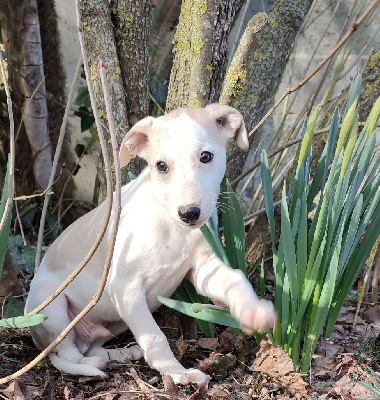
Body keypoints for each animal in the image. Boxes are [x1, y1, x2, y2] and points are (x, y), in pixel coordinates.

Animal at [26, 103, 276, 384]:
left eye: (206, 156)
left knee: (92, 345)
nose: (189, 213)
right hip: (51, 305)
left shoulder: (201, 268)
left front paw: (252, 311)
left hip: (115, 319)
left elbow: (235, 278)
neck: (172, 227)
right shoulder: (125, 289)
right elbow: (154, 336)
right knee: (69, 352)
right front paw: (177, 372)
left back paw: (119, 354)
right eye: (161, 166)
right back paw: (94, 364)